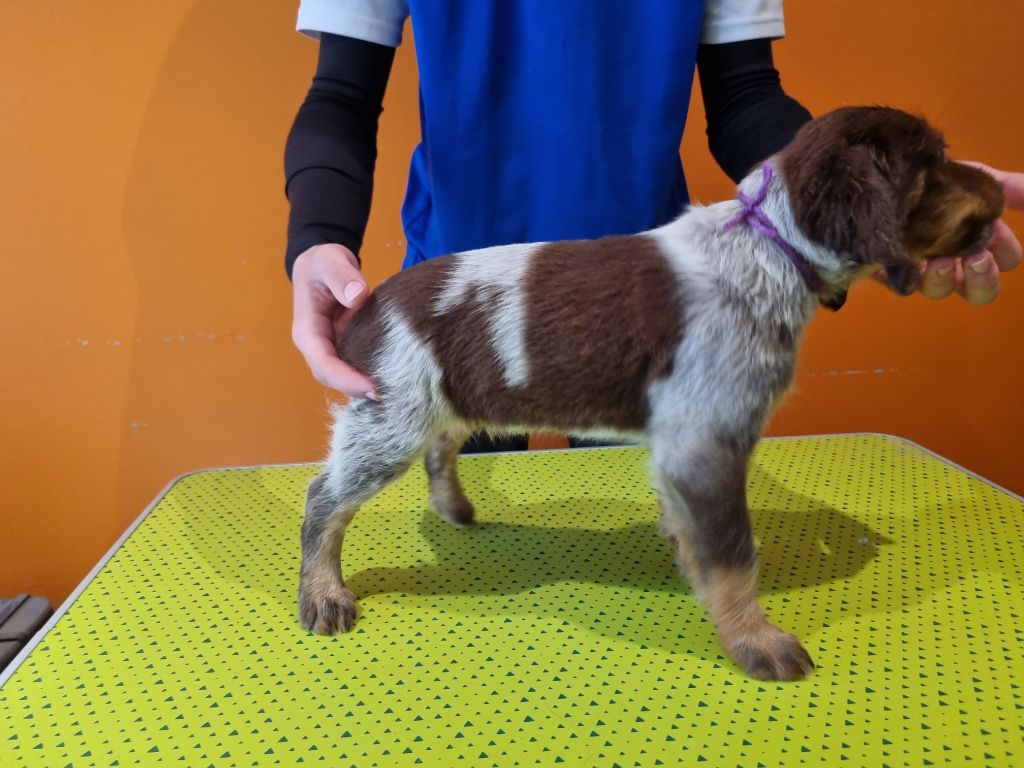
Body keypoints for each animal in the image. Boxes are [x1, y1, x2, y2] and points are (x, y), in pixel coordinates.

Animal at [297, 107, 1004, 681]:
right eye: (936, 162)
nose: (1003, 187)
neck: (767, 246)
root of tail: (367, 305)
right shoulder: (707, 440)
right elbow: (735, 556)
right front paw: (755, 639)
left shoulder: (686, 445)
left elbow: (697, 532)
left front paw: (689, 562)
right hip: (389, 414)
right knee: (325, 498)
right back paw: (324, 593)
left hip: (440, 400)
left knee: (441, 447)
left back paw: (453, 507)